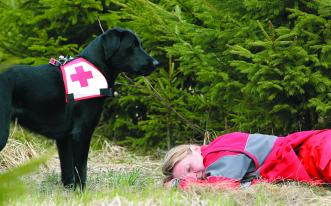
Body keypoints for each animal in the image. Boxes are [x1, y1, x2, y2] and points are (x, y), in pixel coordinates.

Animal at [0, 28, 160, 189]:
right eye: (132, 46)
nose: (156, 63)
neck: (96, 68)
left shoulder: (64, 138)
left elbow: (68, 170)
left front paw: (70, 189)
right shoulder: (81, 132)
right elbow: (81, 169)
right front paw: (82, 191)